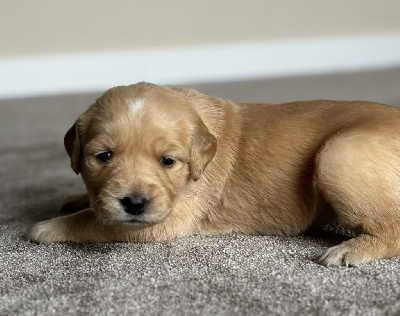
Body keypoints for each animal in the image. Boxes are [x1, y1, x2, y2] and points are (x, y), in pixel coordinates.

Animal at [28, 82, 400, 266]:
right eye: (103, 157)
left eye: (168, 161)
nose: (134, 203)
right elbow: (94, 206)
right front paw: (76, 199)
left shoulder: (167, 220)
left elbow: (94, 221)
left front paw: (48, 227)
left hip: (337, 154)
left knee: (392, 228)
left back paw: (351, 250)